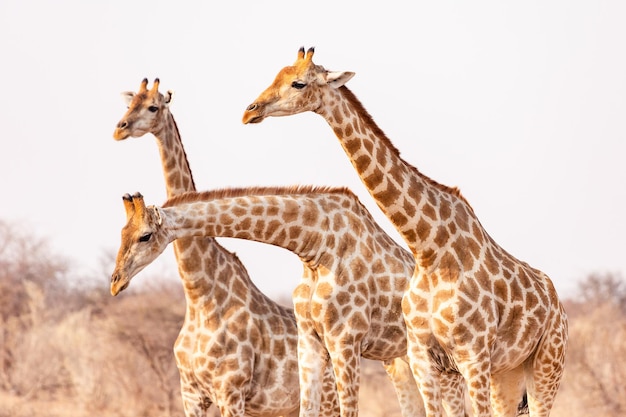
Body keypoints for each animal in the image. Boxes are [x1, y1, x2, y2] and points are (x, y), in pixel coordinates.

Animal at [109, 78, 338, 416]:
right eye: (129, 104)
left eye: (152, 107)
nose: (120, 129)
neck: (198, 295)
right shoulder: (190, 393)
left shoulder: (231, 391)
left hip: (328, 400)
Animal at [240, 46, 564, 416]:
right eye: (276, 74)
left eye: (298, 83)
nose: (250, 111)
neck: (429, 248)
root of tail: (558, 302)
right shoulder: (425, 357)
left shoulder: (472, 355)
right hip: (506, 372)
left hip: (546, 363)